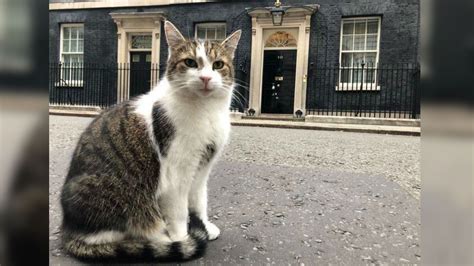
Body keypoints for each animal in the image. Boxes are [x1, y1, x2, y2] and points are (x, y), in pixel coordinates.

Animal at [60, 21, 241, 262]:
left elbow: (200, 201)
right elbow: (179, 211)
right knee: (112, 236)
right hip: (121, 197)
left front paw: (204, 226)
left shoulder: (202, 168)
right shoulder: (177, 173)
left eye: (218, 64)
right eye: (190, 62)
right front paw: (183, 237)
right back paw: (161, 239)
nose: (205, 78)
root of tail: (67, 231)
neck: (206, 111)